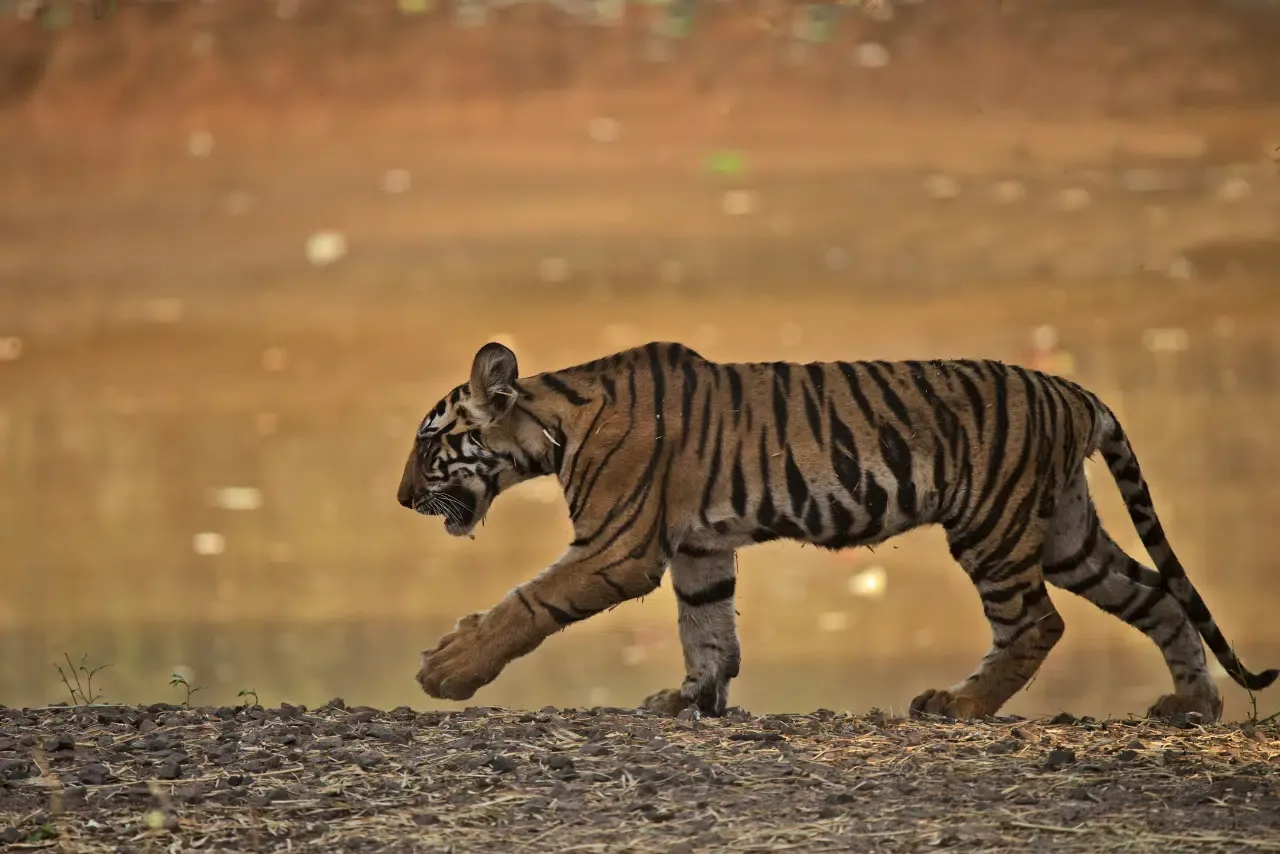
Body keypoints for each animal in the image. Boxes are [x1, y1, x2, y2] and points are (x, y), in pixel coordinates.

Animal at [398, 340, 1276, 722]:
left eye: (428, 444)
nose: (404, 499)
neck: (552, 424)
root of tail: (1072, 389)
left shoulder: (619, 546)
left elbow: (525, 605)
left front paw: (447, 671)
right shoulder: (700, 548)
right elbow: (709, 632)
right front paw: (689, 698)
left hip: (992, 527)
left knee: (1036, 625)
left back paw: (958, 704)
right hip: (1065, 533)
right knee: (1158, 595)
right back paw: (1191, 705)